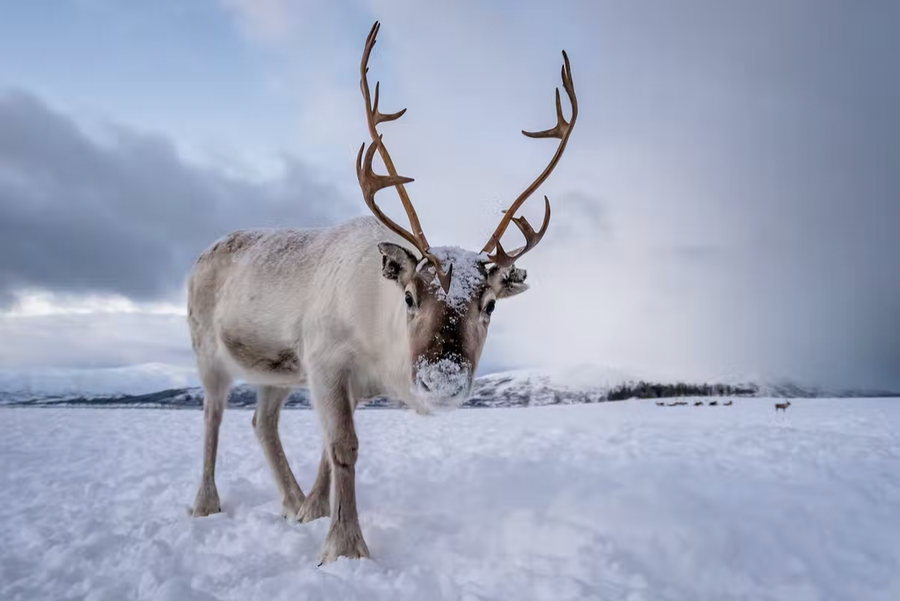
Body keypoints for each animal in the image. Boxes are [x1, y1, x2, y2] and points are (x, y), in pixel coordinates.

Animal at [186, 21, 578, 564]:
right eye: (410, 296)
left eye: (490, 304)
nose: (442, 380)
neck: (378, 343)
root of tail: (203, 254)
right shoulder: (326, 361)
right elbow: (343, 447)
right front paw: (345, 547)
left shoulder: (344, 382)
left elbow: (329, 450)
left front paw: (313, 512)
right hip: (208, 350)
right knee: (212, 417)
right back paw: (206, 504)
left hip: (276, 372)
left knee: (262, 423)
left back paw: (290, 502)